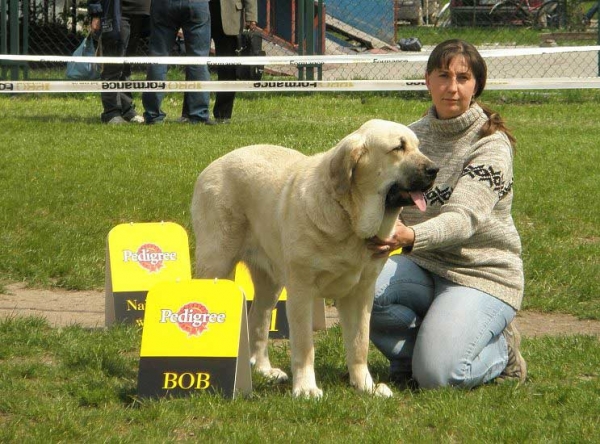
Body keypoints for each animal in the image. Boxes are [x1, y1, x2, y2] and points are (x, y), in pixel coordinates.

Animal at [191, 119, 436, 398]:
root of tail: (214, 164)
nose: (434, 169)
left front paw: (366, 386)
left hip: (270, 284)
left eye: (417, 146)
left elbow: (359, 343)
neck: (349, 217)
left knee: (258, 321)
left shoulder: (361, 292)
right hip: (216, 263)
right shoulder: (301, 290)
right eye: (398, 147)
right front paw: (306, 388)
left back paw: (265, 370)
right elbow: (304, 345)